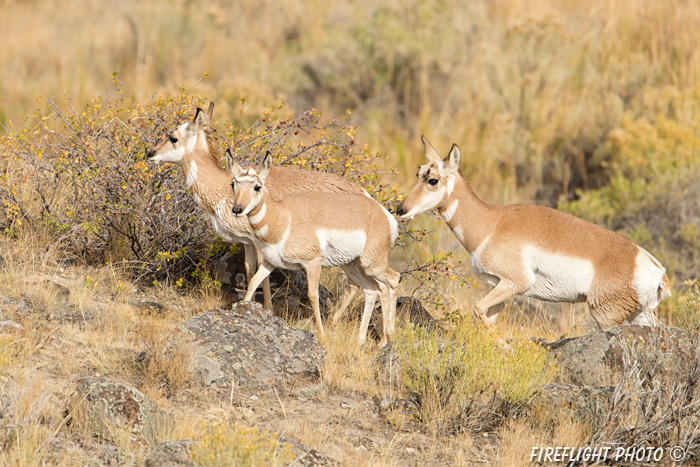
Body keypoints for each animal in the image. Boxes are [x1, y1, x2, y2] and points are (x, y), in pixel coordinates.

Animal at [147, 103, 366, 308]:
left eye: (173, 137)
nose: (150, 153)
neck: (224, 186)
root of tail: (363, 194)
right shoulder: (247, 243)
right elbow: (250, 271)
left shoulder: (261, 243)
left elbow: (263, 276)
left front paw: (266, 309)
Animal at [227, 154, 396, 348]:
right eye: (233, 184)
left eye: (257, 186)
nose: (237, 210)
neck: (283, 217)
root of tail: (384, 213)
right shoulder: (270, 262)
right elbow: (254, 282)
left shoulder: (313, 263)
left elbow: (313, 295)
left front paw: (321, 335)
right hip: (353, 265)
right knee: (373, 289)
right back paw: (362, 340)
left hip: (372, 265)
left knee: (393, 280)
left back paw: (386, 337)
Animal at [396, 137, 668, 330]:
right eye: (418, 172)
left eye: (432, 179)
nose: (400, 209)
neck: (492, 223)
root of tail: (654, 267)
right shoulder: (500, 286)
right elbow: (485, 317)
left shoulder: (516, 283)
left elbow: (478, 309)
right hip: (640, 315)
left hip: (606, 316)